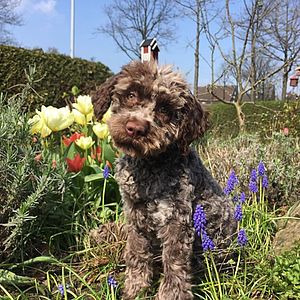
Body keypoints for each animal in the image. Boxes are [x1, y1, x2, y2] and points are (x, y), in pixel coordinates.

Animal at [92, 61, 237, 300]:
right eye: (131, 94)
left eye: (164, 109)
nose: (135, 128)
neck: (148, 167)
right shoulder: (134, 215)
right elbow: (136, 253)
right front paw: (136, 288)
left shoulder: (176, 220)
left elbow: (174, 263)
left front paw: (170, 294)